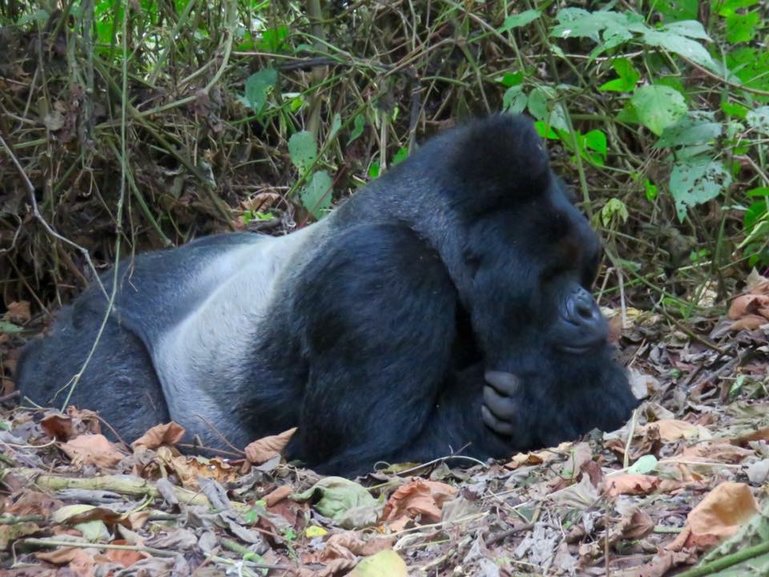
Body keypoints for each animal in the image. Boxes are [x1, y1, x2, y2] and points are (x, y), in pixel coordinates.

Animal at [16, 115, 636, 474]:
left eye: (583, 268)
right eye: (551, 275)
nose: (589, 311)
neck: (431, 231)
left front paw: (582, 390)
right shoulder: (381, 273)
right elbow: (356, 456)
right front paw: (562, 395)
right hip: (80, 339)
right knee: (125, 412)